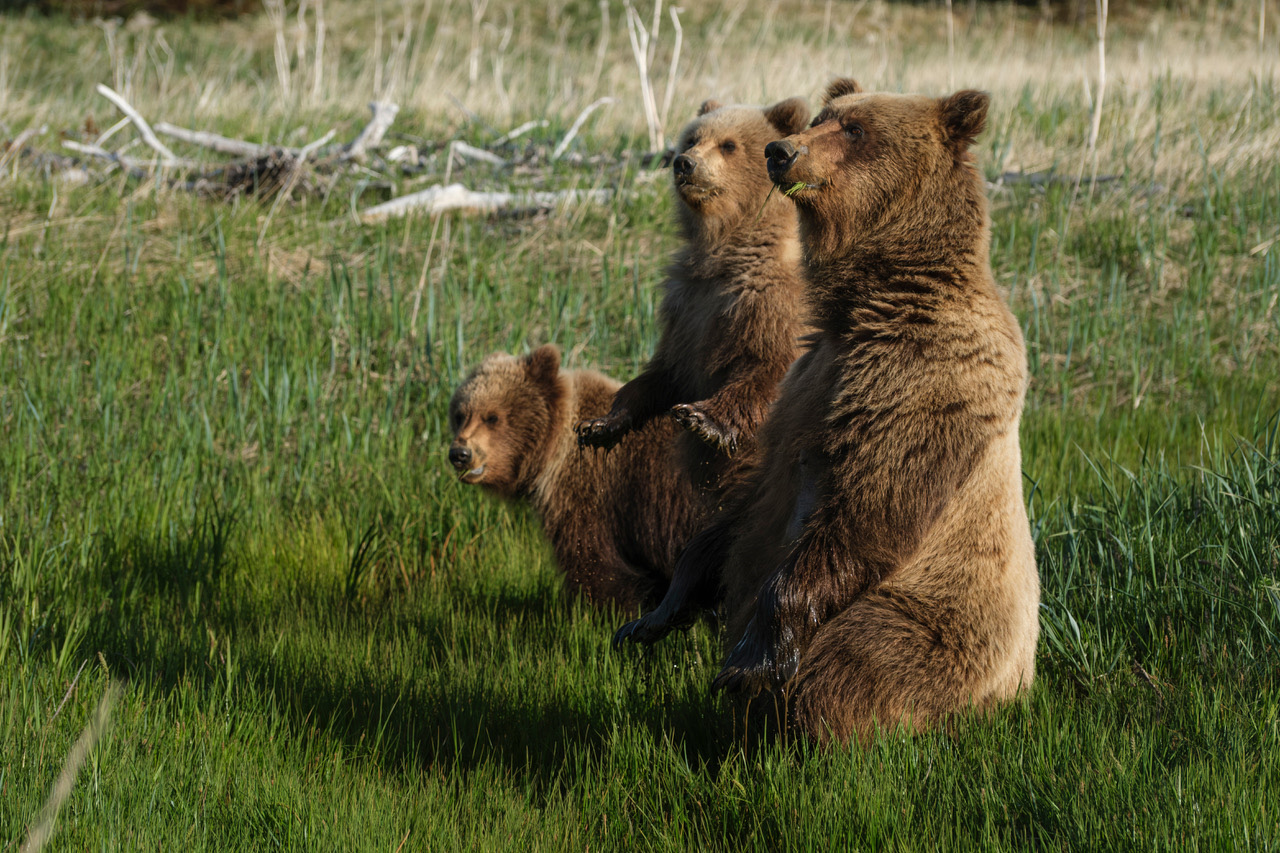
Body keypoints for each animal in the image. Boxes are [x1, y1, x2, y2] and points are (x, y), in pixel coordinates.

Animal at [448, 344, 705, 610]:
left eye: (492, 417)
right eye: (459, 415)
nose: (460, 454)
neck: (552, 451)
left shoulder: (586, 491)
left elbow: (595, 562)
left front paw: (599, 611)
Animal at [575, 97, 813, 508]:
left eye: (729, 145)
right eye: (691, 138)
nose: (684, 163)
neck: (723, 253)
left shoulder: (771, 303)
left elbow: (769, 366)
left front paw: (703, 419)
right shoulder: (688, 308)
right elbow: (664, 372)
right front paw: (600, 423)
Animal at [617, 79, 1040, 746]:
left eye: (856, 129)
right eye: (822, 117)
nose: (782, 151)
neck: (865, 306)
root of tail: (1018, 693)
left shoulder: (919, 382)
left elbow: (864, 509)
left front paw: (750, 661)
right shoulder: (807, 385)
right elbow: (744, 507)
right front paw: (653, 615)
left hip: (942, 621)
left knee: (854, 662)